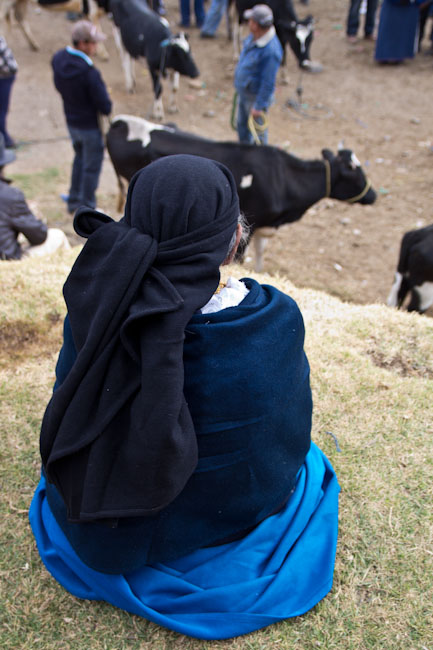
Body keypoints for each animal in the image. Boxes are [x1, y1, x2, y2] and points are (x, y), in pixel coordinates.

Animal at [106, 114, 376, 268]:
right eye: (354, 171)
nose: (373, 195)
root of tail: (119, 121)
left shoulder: (264, 226)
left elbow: (259, 256)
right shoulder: (250, 224)